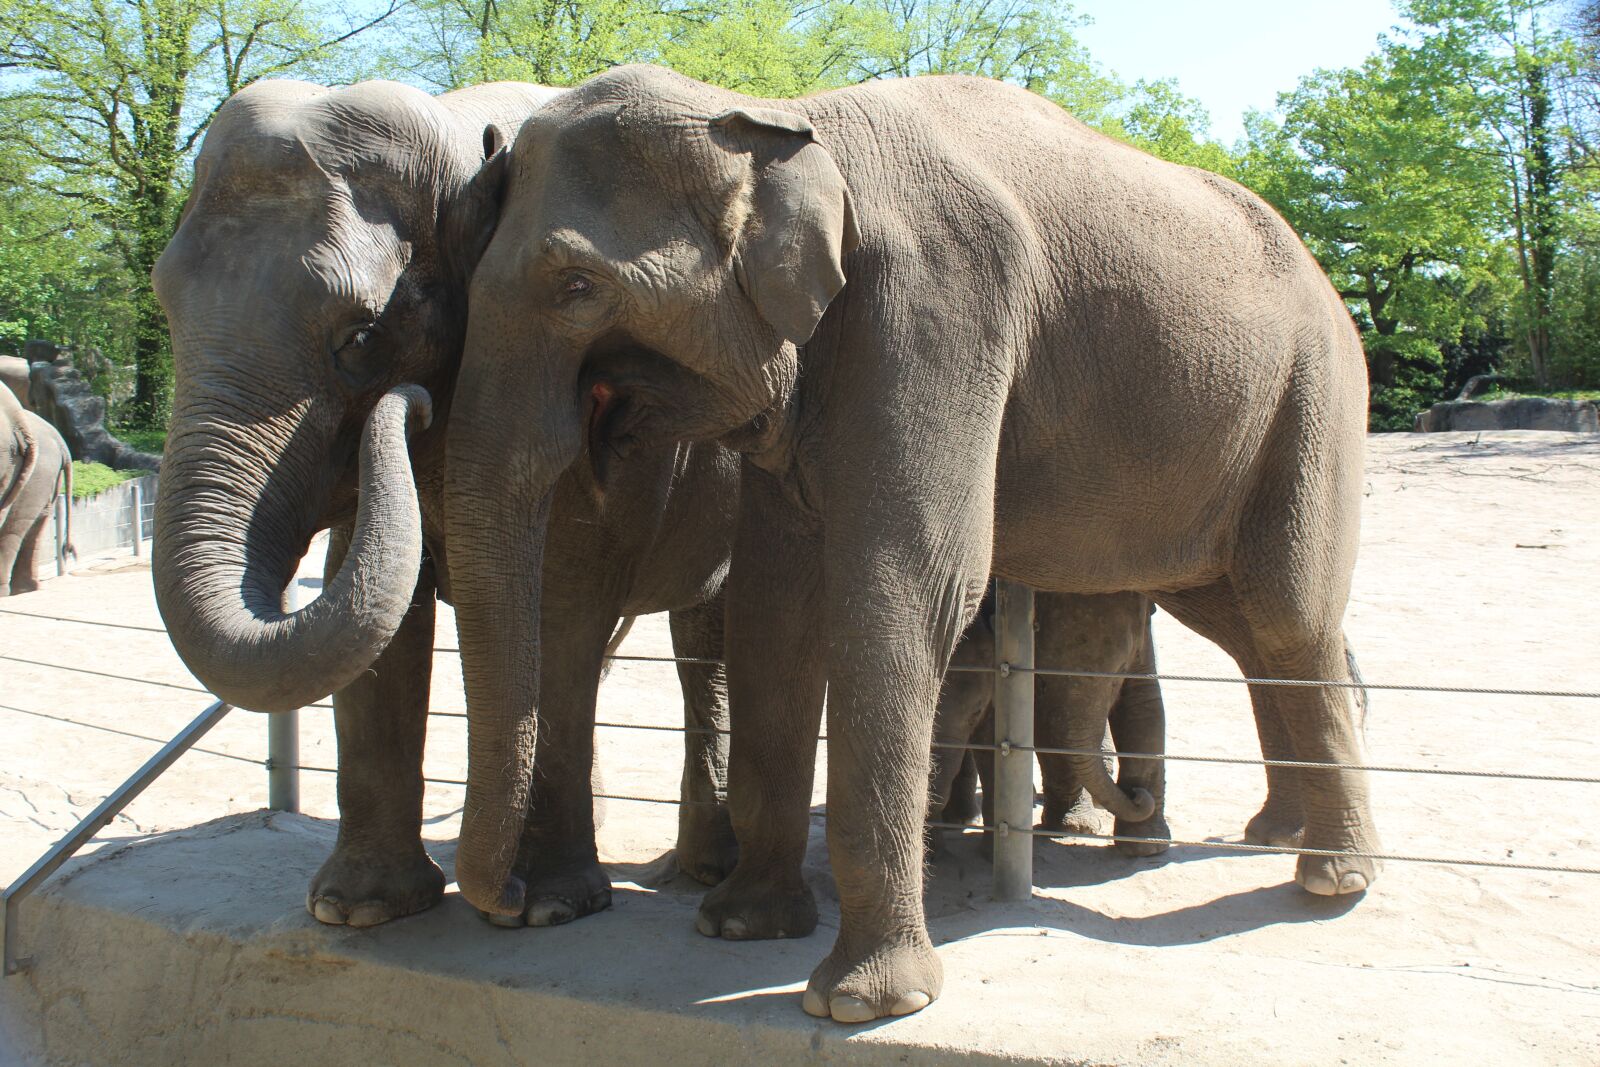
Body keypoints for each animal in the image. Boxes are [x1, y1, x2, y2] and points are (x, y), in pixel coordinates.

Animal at [1, 395, 74, 596]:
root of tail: (61, 442)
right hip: (42, 475)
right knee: (36, 520)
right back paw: (26, 588)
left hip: (37, 473)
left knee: (15, 527)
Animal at [149, 77, 743, 932]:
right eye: (163, 306)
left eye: (362, 338)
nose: (415, 406)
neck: (461, 130)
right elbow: (381, 621)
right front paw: (357, 909)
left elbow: (562, 611)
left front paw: (549, 906)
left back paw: (698, 875)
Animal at [930, 589, 1169, 856]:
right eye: (1044, 673)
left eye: (1119, 672)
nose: (1136, 795)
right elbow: (1043, 723)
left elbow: (1144, 706)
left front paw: (1146, 847)